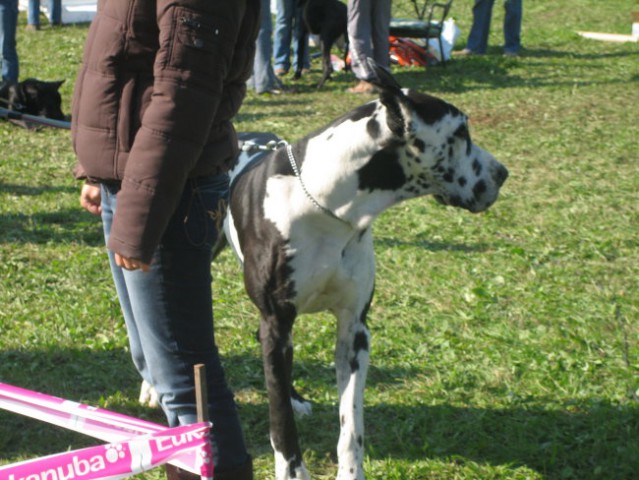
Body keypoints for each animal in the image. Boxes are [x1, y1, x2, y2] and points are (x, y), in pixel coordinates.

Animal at [220, 64, 510, 480]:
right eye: (460, 134)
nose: (502, 173)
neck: (327, 203)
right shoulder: (277, 321)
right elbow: (280, 424)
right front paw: (292, 468)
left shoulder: (355, 331)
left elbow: (351, 424)